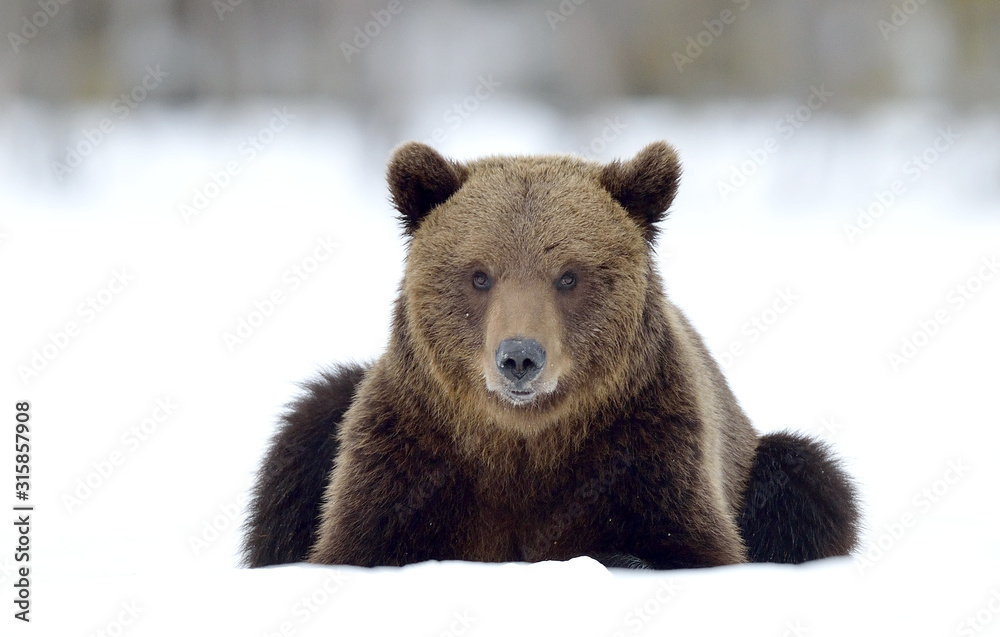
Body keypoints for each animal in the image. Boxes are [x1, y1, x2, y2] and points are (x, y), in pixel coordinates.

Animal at [242, 141, 859, 570]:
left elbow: (683, 544)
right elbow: (361, 541)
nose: (519, 357)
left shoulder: (648, 446)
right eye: (479, 274)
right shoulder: (410, 453)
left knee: (807, 479)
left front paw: (613, 554)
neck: (525, 442)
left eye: (569, 275)